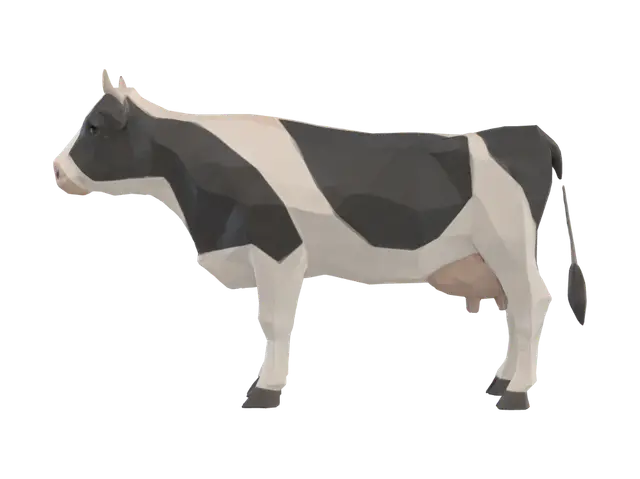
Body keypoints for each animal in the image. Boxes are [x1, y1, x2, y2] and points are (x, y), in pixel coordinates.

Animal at [52, 68, 589, 413]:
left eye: (94, 127)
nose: (57, 171)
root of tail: (525, 133)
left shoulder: (279, 248)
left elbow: (273, 323)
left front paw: (265, 392)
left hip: (509, 245)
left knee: (533, 304)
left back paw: (517, 394)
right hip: (497, 256)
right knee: (517, 312)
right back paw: (501, 382)